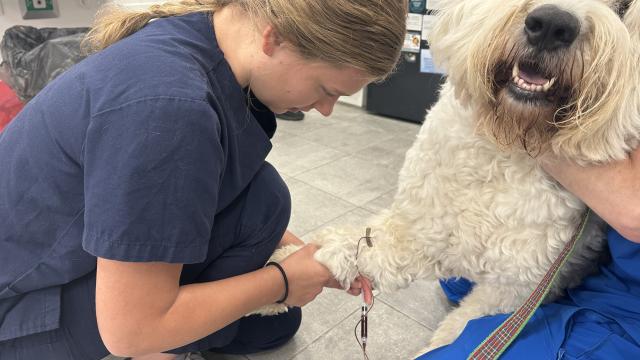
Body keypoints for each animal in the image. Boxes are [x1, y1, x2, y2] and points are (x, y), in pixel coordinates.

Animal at [262, 0, 640, 354]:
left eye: (623, 8)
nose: (551, 25)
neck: (505, 146)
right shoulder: (421, 223)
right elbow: (358, 246)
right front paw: (279, 271)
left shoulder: (515, 287)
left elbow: (460, 330)